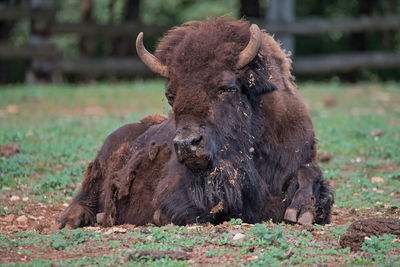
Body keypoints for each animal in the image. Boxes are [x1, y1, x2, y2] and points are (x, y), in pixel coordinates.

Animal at [54, 17, 332, 229]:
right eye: (170, 95)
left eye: (226, 88)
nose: (188, 144)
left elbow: (311, 173)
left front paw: (301, 212)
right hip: (100, 162)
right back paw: (72, 219)